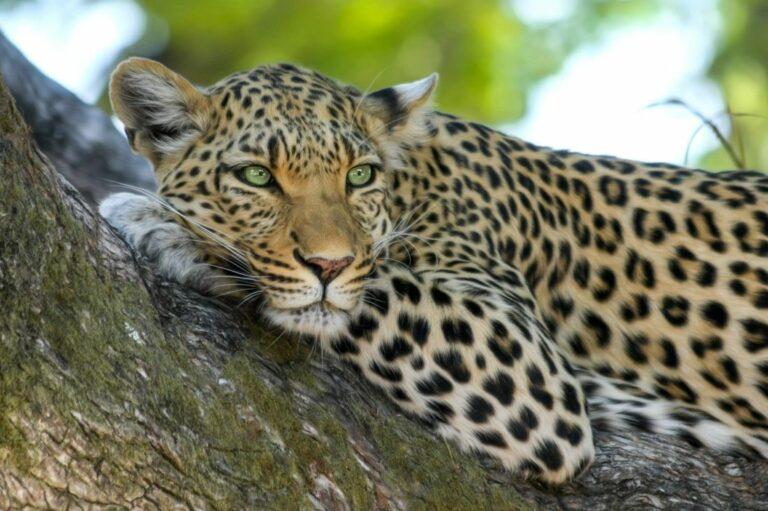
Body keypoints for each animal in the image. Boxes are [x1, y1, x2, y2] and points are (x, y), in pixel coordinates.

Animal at [100, 57, 768, 484]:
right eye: (257, 176)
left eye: (359, 176)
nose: (328, 263)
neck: (414, 183)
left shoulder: (529, 367)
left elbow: (377, 288)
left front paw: (165, 225)